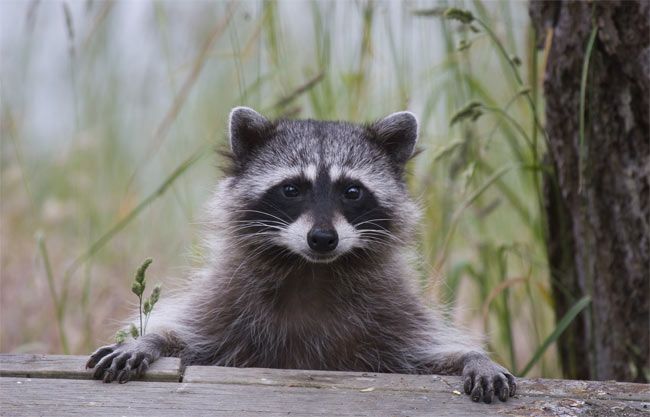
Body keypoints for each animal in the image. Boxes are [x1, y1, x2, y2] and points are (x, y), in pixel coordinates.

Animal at [86, 107, 512, 404]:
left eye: (352, 191)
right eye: (291, 189)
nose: (322, 238)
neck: (311, 270)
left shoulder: (391, 313)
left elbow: (424, 356)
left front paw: (472, 357)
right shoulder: (227, 301)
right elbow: (192, 336)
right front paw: (150, 340)